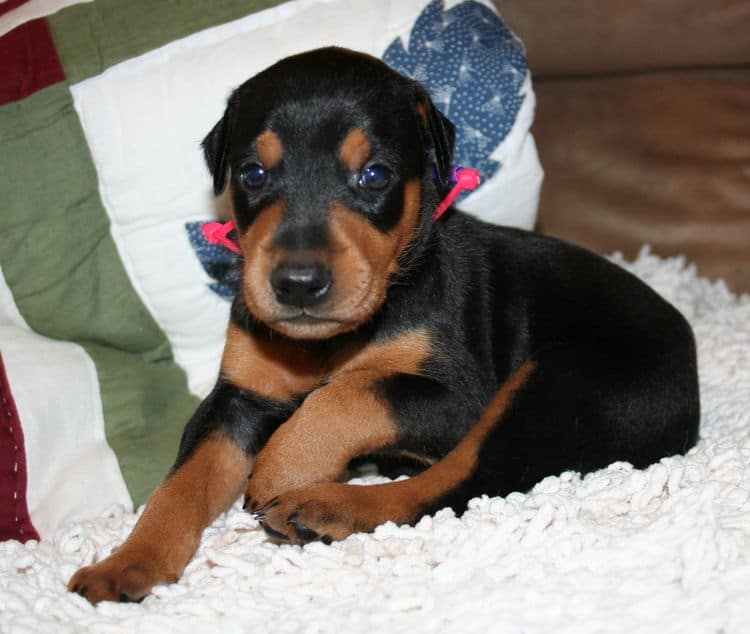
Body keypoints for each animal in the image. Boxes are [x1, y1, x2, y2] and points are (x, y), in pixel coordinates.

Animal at [67, 47, 704, 600]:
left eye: (374, 176)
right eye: (252, 174)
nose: (298, 283)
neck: (330, 342)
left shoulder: (459, 397)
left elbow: (350, 392)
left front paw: (281, 467)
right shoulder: (237, 399)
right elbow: (179, 485)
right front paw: (127, 562)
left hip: (557, 383)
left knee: (463, 480)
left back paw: (323, 506)